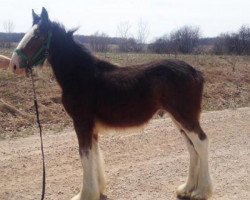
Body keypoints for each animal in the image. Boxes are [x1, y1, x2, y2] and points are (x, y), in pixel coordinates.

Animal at [10, 7, 212, 200]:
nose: (14, 64)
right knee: (192, 147)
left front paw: (85, 194)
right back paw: (186, 189)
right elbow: (94, 155)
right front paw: (97, 191)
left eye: (38, 35)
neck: (81, 75)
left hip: (184, 116)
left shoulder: (81, 123)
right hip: (178, 118)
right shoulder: (91, 127)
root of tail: (195, 72)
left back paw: (201, 191)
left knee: (201, 142)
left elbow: (84, 155)